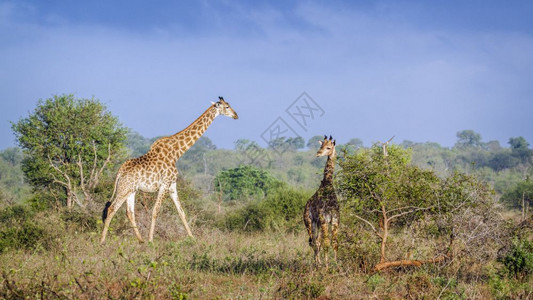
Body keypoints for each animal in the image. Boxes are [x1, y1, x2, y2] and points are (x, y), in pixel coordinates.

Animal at [101, 97, 238, 243]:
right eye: (227, 106)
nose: (236, 115)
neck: (176, 153)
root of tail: (119, 172)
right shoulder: (165, 184)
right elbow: (155, 210)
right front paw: (151, 240)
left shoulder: (172, 185)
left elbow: (181, 211)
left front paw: (192, 238)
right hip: (124, 188)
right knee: (112, 208)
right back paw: (102, 241)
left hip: (131, 190)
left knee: (129, 212)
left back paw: (140, 240)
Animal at [302, 135, 338, 266]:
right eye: (321, 145)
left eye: (328, 147)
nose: (318, 153)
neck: (327, 184)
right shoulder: (325, 220)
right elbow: (327, 243)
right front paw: (328, 266)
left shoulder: (334, 220)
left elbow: (334, 243)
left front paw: (337, 264)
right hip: (309, 221)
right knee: (314, 241)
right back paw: (318, 263)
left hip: (317, 223)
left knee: (317, 241)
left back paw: (319, 263)